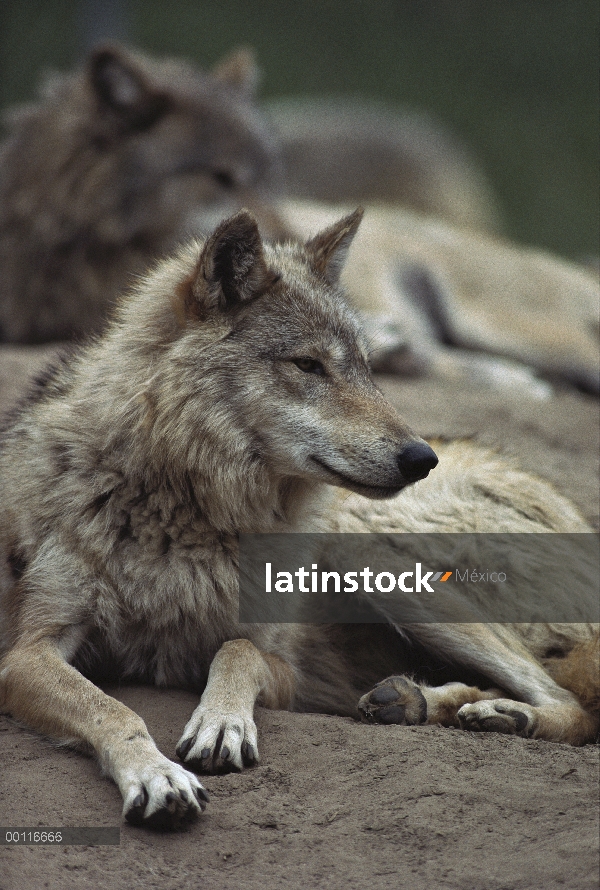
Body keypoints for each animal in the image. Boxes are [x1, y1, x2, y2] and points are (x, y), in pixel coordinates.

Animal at [1, 206, 600, 824]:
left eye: (366, 369)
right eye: (308, 365)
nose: (420, 459)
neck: (183, 509)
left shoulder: (284, 666)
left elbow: (237, 651)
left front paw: (222, 724)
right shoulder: (28, 653)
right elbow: (111, 709)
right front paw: (157, 775)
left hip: (368, 551)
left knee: (572, 703)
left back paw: (501, 715)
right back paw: (417, 701)